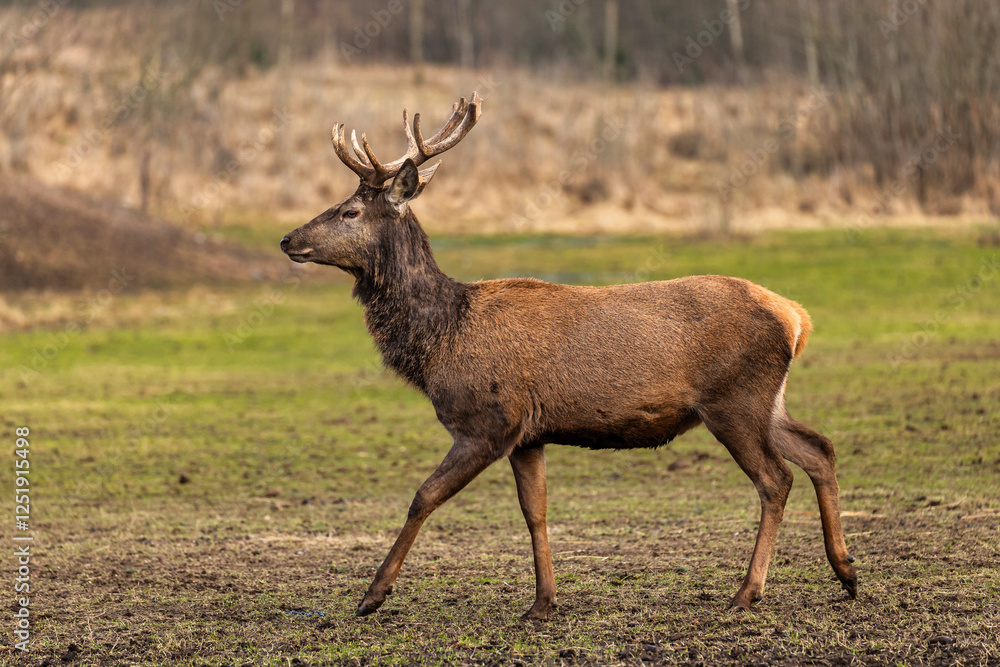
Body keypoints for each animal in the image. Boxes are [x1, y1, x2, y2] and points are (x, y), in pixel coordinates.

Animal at [279, 92, 857, 621]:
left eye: (350, 211)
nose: (287, 239)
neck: (442, 337)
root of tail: (795, 317)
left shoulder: (487, 421)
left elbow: (423, 496)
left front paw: (371, 596)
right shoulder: (528, 435)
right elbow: (534, 512)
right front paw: (543, 601)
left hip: (734, 400)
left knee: (776, 479)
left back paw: (747, 592)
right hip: (766, 401)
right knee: (819, 449)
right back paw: (846, 572)